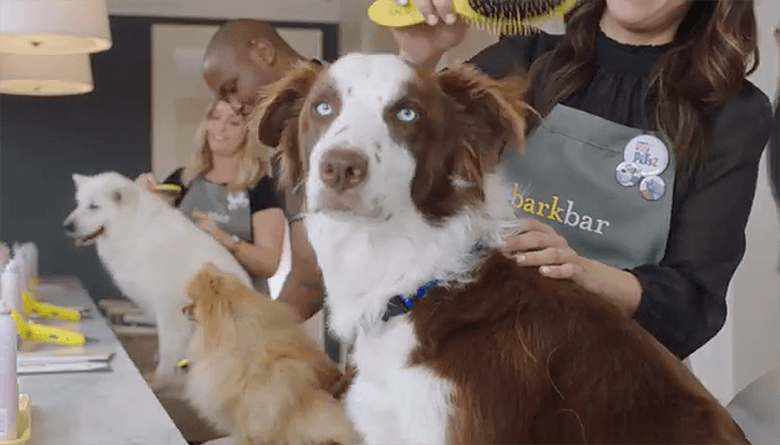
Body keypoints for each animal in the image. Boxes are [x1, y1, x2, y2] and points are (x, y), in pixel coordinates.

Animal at [65, 170, 253, 386]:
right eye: (79, 204)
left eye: (94, 206)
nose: (67, 226)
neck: (135, 229)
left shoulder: (170, 308)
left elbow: (168, 347)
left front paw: (160, 378)